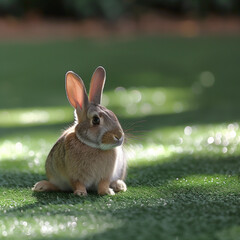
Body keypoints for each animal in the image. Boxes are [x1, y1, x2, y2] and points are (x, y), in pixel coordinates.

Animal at [33, 66, 128, 196]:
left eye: (113, 115)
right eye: (96, 120)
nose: (119, 136)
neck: (92, 146)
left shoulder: (106, 175)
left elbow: (103, 183)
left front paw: (107, 192)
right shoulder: (74, 175)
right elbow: (78, 183)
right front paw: (80, 193)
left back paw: (119, 185)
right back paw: (41, 186)